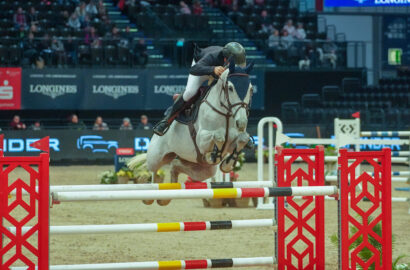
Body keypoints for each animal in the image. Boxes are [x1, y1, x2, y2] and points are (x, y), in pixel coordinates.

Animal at [130, 61, 255, 205]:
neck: (226, 114)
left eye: (251, 89)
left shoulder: (232, 142)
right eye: (230, 88)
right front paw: (214, 155)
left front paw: (227, 164)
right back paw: (149, 195)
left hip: (202, 169)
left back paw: (165, 198)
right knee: (153, 172)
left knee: (175, 167)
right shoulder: (201, 139)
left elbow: (243, 139)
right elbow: (218, 136)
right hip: (156, 156)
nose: (242, 123)